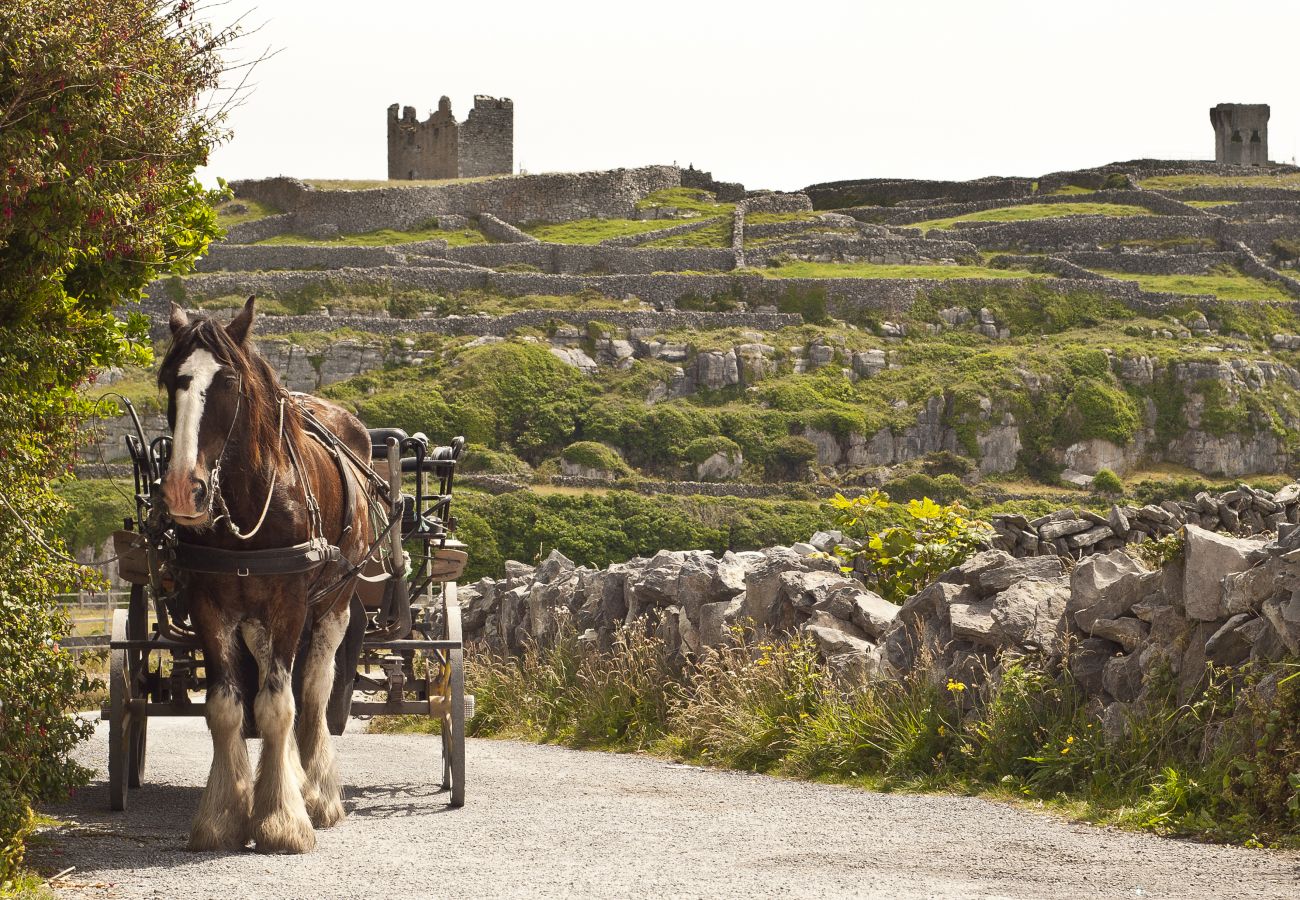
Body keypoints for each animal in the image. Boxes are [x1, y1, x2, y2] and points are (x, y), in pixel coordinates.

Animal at [156, 299, 377, 853]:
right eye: (170, 379)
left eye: (229, 381)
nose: (182, 490)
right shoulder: (209, 603)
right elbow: (226, 707)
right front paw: (223, 816)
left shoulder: (289, 602)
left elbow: (280, 705)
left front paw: (282, 821)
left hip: (334, 603)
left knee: (314, 689)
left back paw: (318, 793)